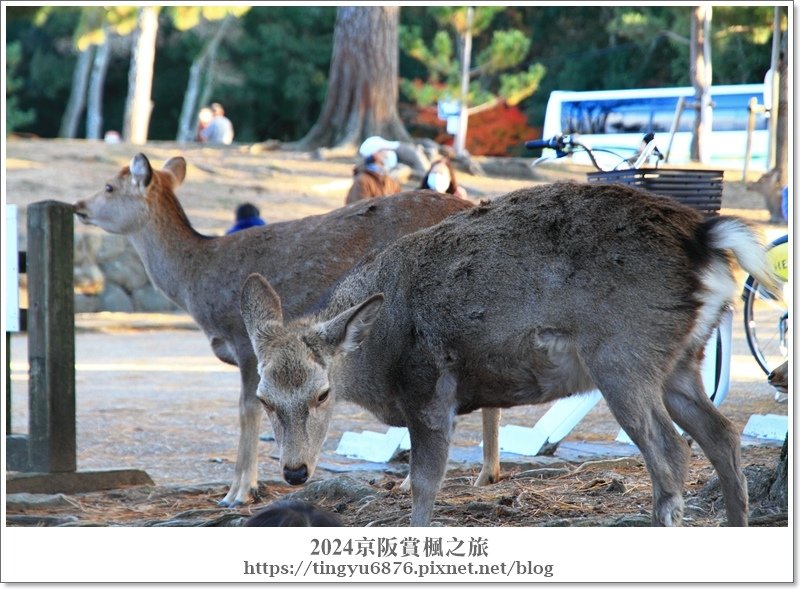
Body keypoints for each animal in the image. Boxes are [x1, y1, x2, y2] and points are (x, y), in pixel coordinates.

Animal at [73, 152, 476, 506]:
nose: (78, 205)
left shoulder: (244, 340)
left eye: (109, 187)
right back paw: (480, 476)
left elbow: (247, 409)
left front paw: (237, 492)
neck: (196, 282)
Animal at [241, 181, 780, 524]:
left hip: (624, 353)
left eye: (322, 393)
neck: (379, 363)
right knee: (723, 434)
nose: (294, 471)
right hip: (681, 358)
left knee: (671, 451)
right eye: (265, 398)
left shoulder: (429, 390)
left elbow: (424, 486)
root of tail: (707, 239)